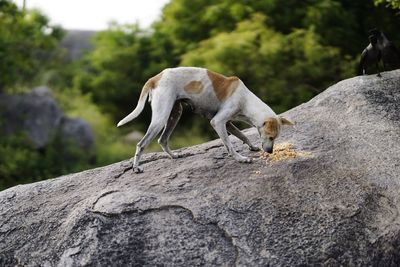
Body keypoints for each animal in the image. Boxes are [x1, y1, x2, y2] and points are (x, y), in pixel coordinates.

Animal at [116, 67, 294, 174]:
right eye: (270, 137)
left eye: (275, 138)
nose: (270, 152)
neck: (245, 100)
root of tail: (155, 78)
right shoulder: (218, 122)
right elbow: (229, 145)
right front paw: (241, 159)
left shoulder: (227, 124)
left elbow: (243, 135)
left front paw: (251, 147)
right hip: (161, 117)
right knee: (141, 144)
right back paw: (136, 167)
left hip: (175, 114)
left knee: (162, 140)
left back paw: (174, 156)